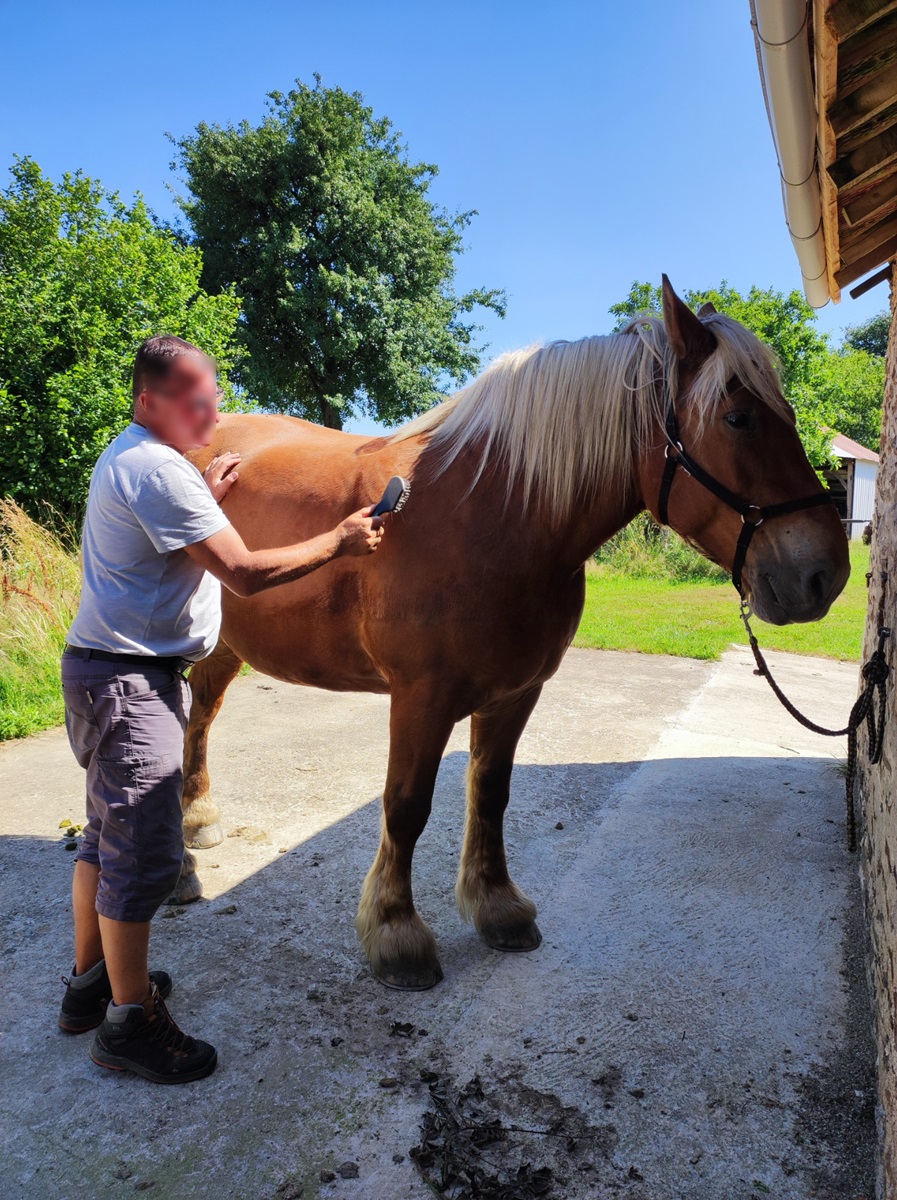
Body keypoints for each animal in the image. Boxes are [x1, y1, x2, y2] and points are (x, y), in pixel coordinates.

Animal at [176, 276, 850, 991]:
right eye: (739, 418)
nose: (823, 575)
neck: (496, 513)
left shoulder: (516, 693)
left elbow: (490, 795)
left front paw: (496, 907)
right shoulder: (421, 698)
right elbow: (406, 806)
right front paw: (395, 933)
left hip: (227, 643)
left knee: (203, 710)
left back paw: (198, 816)